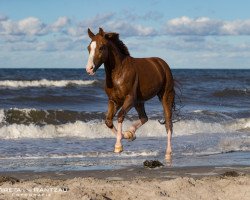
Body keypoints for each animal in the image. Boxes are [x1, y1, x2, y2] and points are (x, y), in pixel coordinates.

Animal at [85, 27, 175, 160]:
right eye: (88, 48)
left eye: (101, 47)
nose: (89, 69)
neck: (119, 72)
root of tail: (162, 64)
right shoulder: (114, 100)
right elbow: (108, 121)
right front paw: (127, 135)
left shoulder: (129, 99)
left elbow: (120, 116)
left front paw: (118, 146)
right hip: (139, 102)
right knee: (144, 117)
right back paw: (131, 132)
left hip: (165, 96)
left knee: (168, 123)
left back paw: (168, 153)